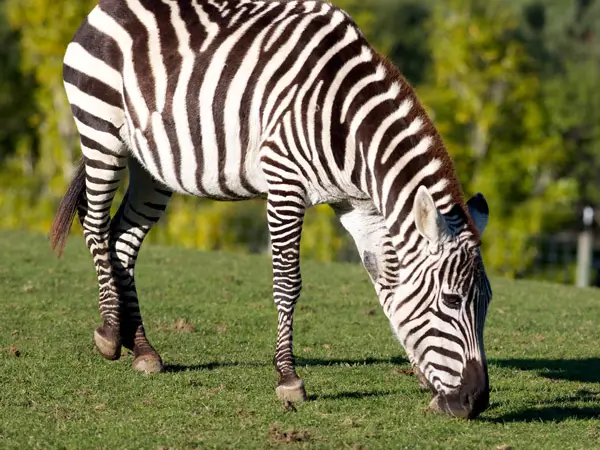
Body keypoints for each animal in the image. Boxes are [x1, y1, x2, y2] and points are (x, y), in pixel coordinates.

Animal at [50, 0, 492, 418]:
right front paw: (288, 377)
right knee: (95, 223)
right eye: (452, 301)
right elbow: (288, 282)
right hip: (101, 132)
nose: (475, 401)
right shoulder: (284, 185)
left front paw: (424, 375)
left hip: (151, 166)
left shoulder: (359, 207)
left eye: (486, 302)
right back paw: (110, 334)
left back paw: (142, 348)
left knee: (123, 239)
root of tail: (105, 8)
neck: (347, 128)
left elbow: (388, 284)